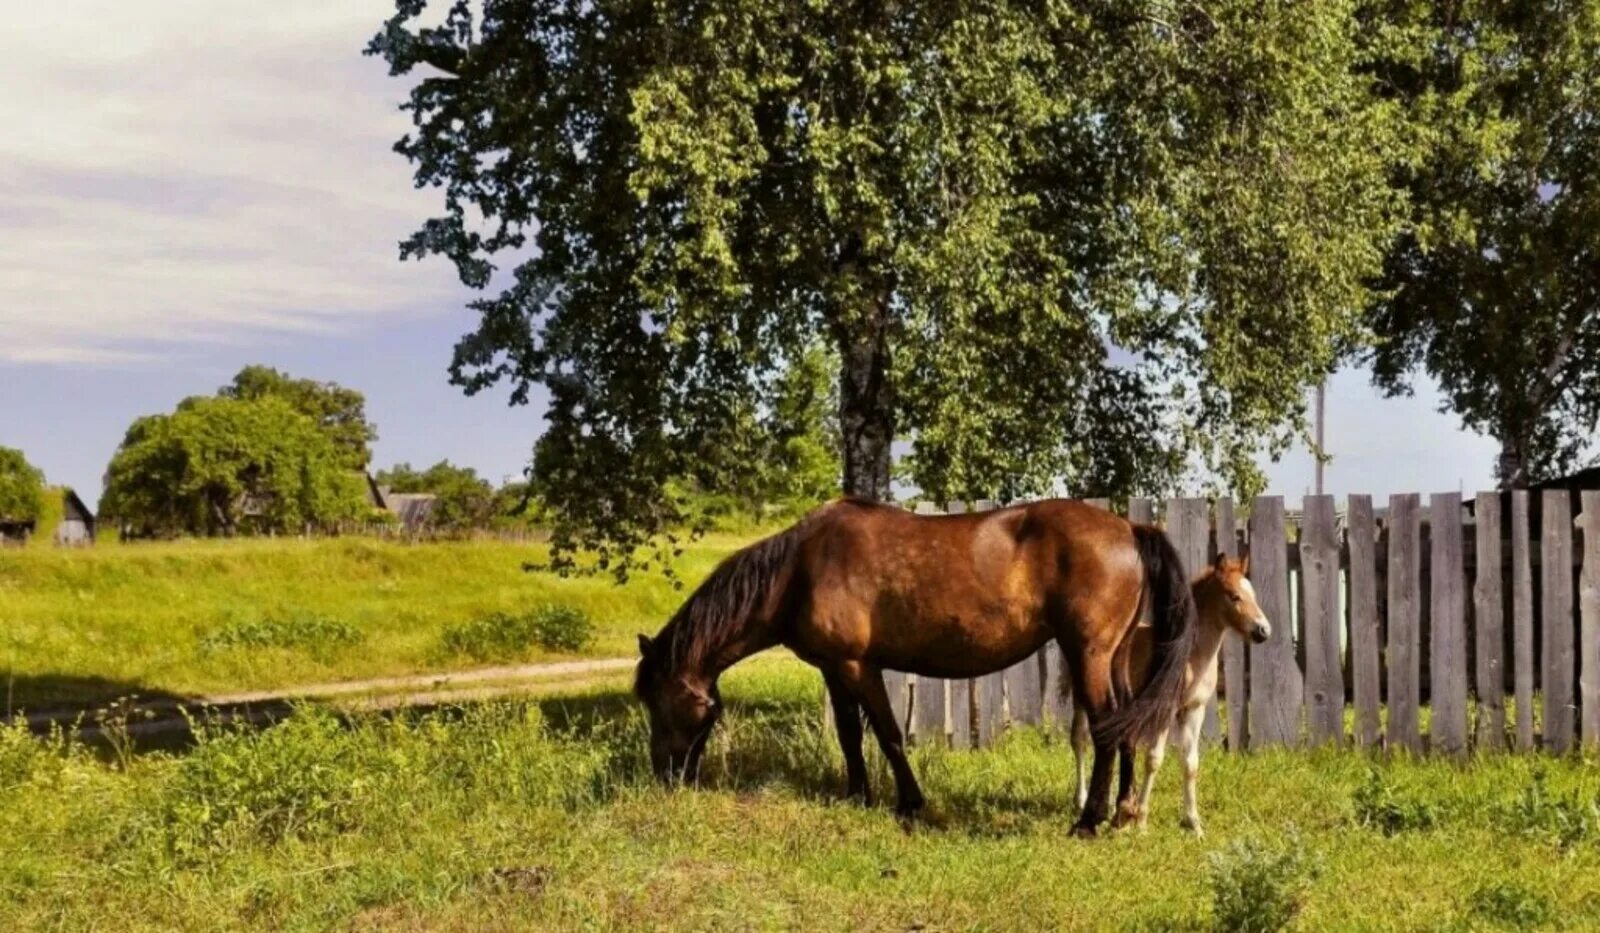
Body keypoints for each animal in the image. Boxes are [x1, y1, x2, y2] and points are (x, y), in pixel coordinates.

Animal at [630, 496, 1196, 832]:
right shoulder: (833, 668)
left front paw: (909, 803)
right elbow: (849, 735)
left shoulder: (858, 665)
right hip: (1114, 657)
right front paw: (857, 795)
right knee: (1125, 724)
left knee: (1104, 728)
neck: (799, 570)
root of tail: (1129, 527)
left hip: (1088, 654)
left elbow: (888, 734)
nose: (665, 776)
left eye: (659, 702)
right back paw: (1123, 812)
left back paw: (1088, 821)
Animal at [1075, 550, 1273, 838]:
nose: (1263, 631)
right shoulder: (1164, 709)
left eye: (1253, 594)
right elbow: (1154, 759)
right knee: (1079, 739)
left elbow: (1190, 763)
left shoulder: (1194, 709)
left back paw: (1113, 805)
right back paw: (1082, 801)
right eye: (1233, 595)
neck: (1190, 655)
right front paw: (1142, 823)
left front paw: (1194, 825)